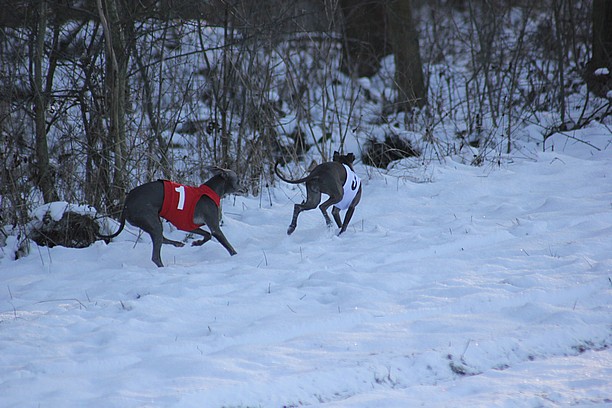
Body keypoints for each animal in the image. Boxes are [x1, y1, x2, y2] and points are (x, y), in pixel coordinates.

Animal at [97, 167, 243, 268]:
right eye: (238, 180)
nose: (244, 189)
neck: (211, 191)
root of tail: (126, 203)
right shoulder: (214, 227)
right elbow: (225, 243)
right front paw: (237, 256)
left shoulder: (189, 225)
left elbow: (207, 235)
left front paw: (196, 243)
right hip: (152, 221)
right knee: (156, 256)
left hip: (153, 223)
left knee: (162, 239)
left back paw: (177, 244)